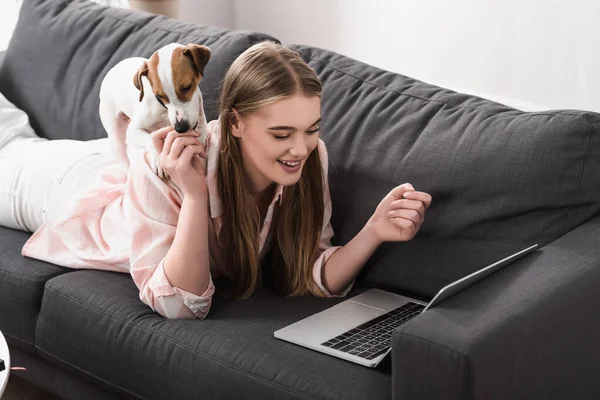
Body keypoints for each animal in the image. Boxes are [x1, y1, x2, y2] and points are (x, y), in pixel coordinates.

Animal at [98, 42, 211, 178]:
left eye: (187, 87)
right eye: (159, 96)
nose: (180, 128)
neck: (163, 110)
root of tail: (113, 68)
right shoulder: (133, 131)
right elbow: (150, 139)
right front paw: (158, 160)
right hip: (116, 137)